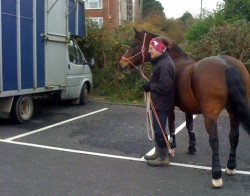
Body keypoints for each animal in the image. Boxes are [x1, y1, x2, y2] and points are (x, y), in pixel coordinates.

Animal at [118, 28, 250, 187]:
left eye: (133, 45)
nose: (121, 64)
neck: (174, 61)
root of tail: (228, 65)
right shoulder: (189, 107)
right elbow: (189, 126)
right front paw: (192, 147)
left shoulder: (170, 108)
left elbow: (171, 126)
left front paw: (172, 145)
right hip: (233, 112)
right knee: (234, 136)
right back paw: (230, 167)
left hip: (211, 115)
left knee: (214, 140)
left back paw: (216, 176)